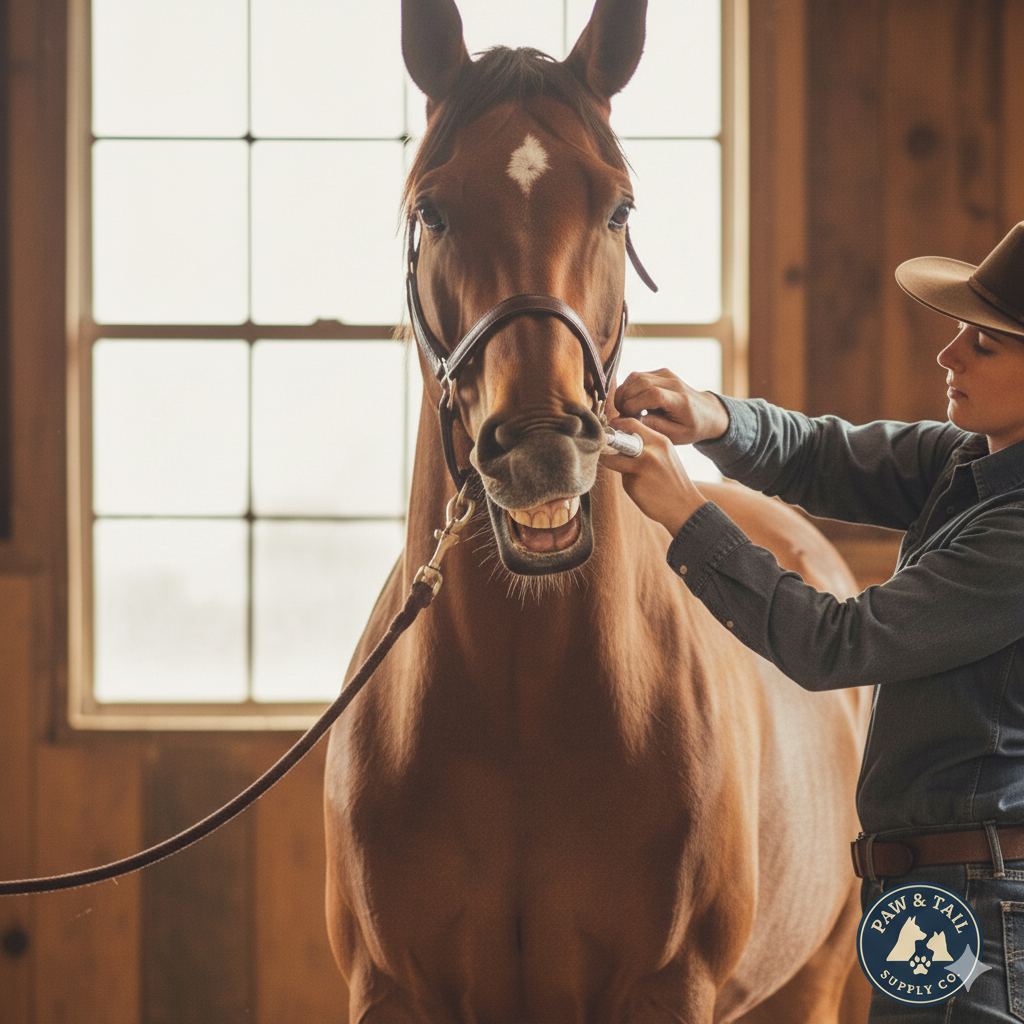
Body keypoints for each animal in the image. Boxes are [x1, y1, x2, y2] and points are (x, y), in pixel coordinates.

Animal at [324, 1, 871, 1020]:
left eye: (618, 208)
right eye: (432, 210)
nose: (542, 447)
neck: (521, 711)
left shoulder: (666, 987)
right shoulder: (392, 988)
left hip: (808, 983)